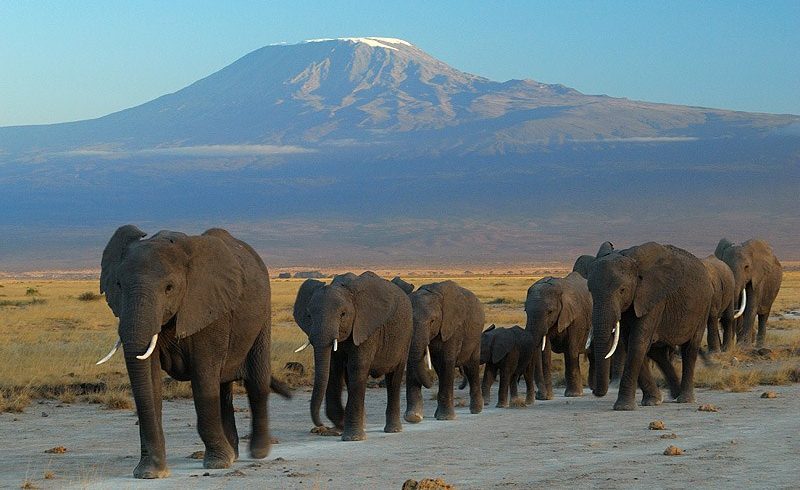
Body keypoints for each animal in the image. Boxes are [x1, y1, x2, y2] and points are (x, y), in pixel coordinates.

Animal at [96, 226, 290, 478]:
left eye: (169, 288)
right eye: (118, 285)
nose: (149, 469)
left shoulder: (210, 307)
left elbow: (203, 377)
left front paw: (218, 463)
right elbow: (150, 380)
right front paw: (150, 472)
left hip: (263, 315)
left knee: (256, 382)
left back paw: (257, 453)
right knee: (223, 388)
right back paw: (234, 454)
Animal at [290, 272, 412, 440]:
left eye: (343, 314)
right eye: (308, 315)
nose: (320, 425)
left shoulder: (366, 327)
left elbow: (357, 367)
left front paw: (352, 437)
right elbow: (333, 368)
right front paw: (339, 428)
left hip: (405, 337)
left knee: (394, 378)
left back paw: (393, 429)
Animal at [404, 282, 484, 424]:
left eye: (432, 321)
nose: (430, 383)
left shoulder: (453, 328)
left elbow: (447, 361)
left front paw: (446, 418)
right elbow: (412, 363)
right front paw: (413, 417)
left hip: (476, 337)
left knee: (471, 368)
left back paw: (476, 410)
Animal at [524, 270, 592, 400]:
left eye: (550, 312)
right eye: (525, 311)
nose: (540, 395)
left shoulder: (576, 317)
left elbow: (571, 351)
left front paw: (573, 395)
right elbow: (545, 354)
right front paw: (547, 397)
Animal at [588, 241, 712, 410]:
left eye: (622, 290)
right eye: (590, 291)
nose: (594, 391)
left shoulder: (653, 298)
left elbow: (637, 342)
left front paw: (623, 407)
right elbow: (631, 343)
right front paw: (652, 401)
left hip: (703, 306)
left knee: (690, 348)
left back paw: (685, 399)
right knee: (657, 353)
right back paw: (673, 394)